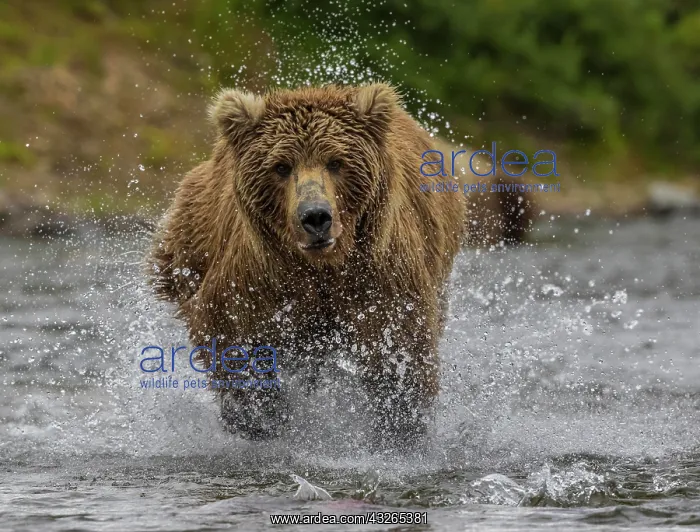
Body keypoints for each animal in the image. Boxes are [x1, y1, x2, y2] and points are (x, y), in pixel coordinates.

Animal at [147, 83, 468, 447]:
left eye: (336, 161)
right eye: (281, 166)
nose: (315, 217)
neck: (323, 266)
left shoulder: (378, 274)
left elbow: (398, 350)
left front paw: (399, 427)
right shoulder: (260, 282)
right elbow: (238, 342)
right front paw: (260, 419)